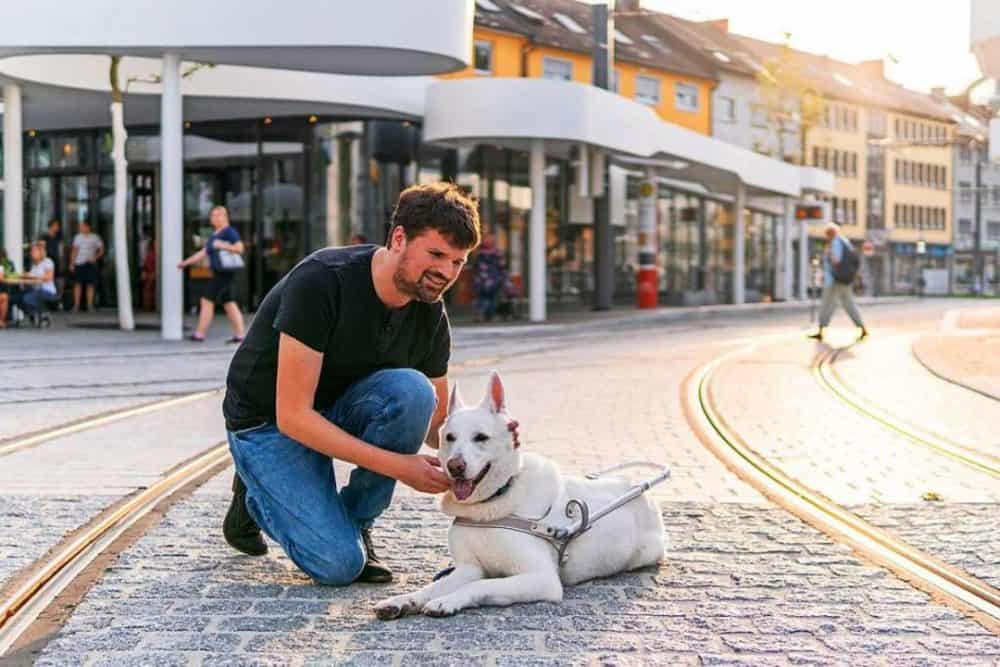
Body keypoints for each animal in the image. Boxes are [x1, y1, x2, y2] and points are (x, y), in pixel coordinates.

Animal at [376, 370, 664, 620]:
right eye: (450, 437)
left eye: (481, 437)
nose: (455, 466)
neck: (492, 503)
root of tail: (635, 486)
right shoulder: (469, 569)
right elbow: (432, 588)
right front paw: (404, 600)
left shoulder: (541, 579)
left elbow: (480, 586)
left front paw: (447, 601)